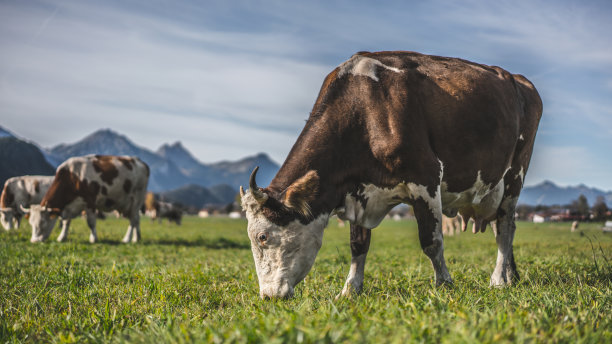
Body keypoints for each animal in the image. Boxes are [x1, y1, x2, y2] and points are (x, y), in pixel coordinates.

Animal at [241, 51, 544, 298]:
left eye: (263, 237)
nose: (268, 296)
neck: (365, 110)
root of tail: (518, 80)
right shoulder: (358, 190)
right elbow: (358, 245)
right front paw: (350, 289)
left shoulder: (426, 177)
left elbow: (431, 241)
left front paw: (444, 283)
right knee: (502, 226)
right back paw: (511, 275)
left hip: (515, 174)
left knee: (505, 228)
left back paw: (498, 280)